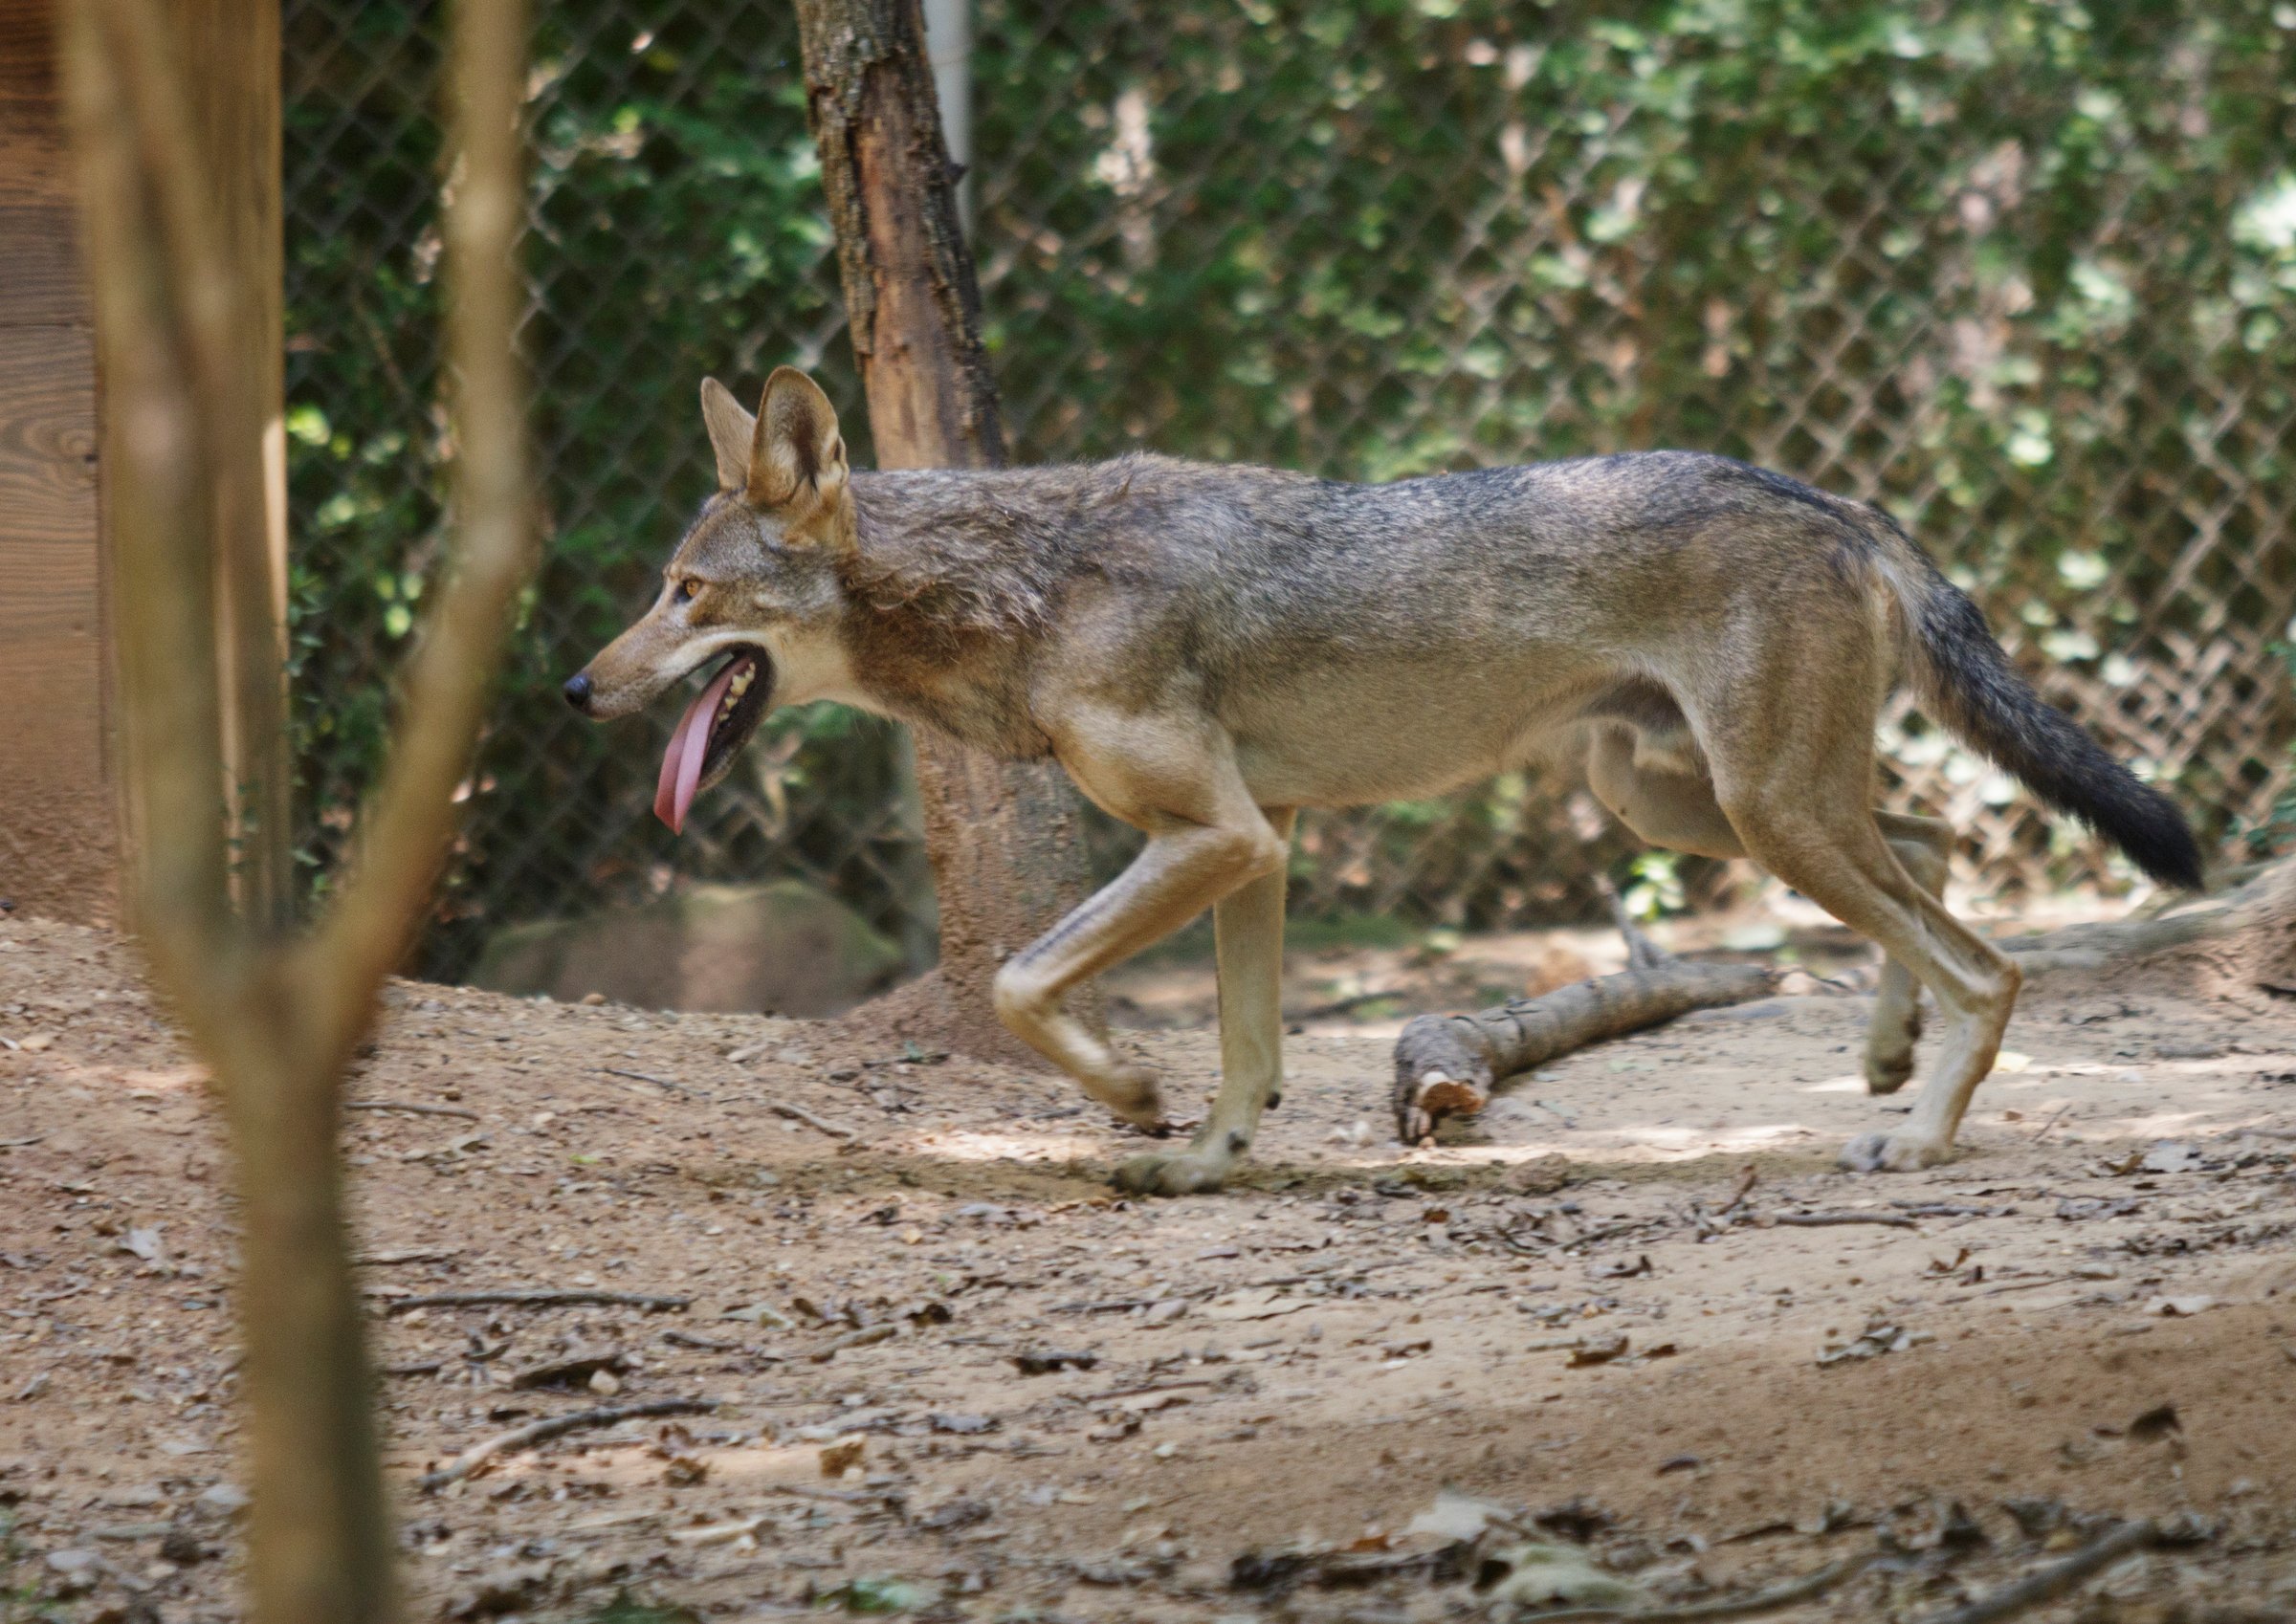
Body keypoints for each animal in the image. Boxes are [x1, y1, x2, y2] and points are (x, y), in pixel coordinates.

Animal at [565, 367, 2202, 1195]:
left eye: (685, 593)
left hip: (1763, 811)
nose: (577, 687)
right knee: (1932, 854)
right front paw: (1207, 1155)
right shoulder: (1263, 845)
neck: (1022, 588)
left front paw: (1136, 1094)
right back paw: (1883, 1054)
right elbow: (1248, 1048)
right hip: (1705, 806)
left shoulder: (1217, 834)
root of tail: (1832, 494)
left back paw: (1917, 1132)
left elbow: (1031, 983)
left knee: (1988, 960)